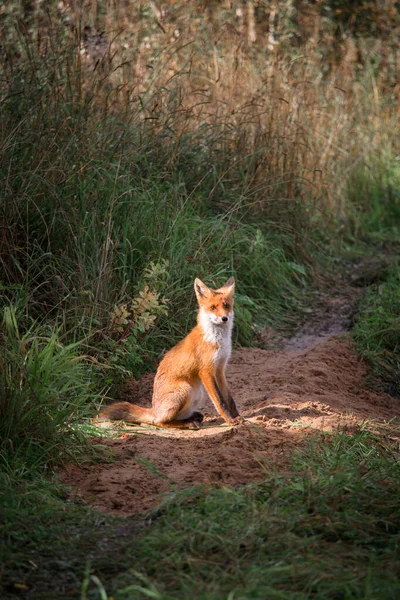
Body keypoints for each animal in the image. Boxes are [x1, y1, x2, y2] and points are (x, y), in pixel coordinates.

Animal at [98, 278, 239, 428]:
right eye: (213, 307)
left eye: (226, 306)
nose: (224, 318)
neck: (217, 340)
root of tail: (154, 410)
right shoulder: (206, 371)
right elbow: (220, 401)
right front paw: (230, 421)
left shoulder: (219, 369)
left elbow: (229, 399)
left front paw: (238, 417)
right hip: (185, 389)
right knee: (160, 422)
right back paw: (188, 424)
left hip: (197, 394)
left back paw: (193, 417)